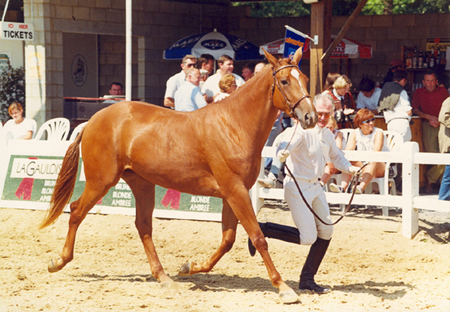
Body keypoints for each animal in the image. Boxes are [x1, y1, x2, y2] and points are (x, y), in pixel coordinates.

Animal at [41, 48, 316, 302]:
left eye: (304, 77)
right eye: (284, 81)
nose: (311, 117)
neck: (233, 126)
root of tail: (93, 120)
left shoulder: (233, 194)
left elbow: (228, 239)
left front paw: (189, 267)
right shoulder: (235, 191)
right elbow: (258, 237)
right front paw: (283, 287)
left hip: (141, 183)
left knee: (143, 226)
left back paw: (164, 278)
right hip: (101, 181)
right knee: (76, 211)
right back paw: (58, 261)